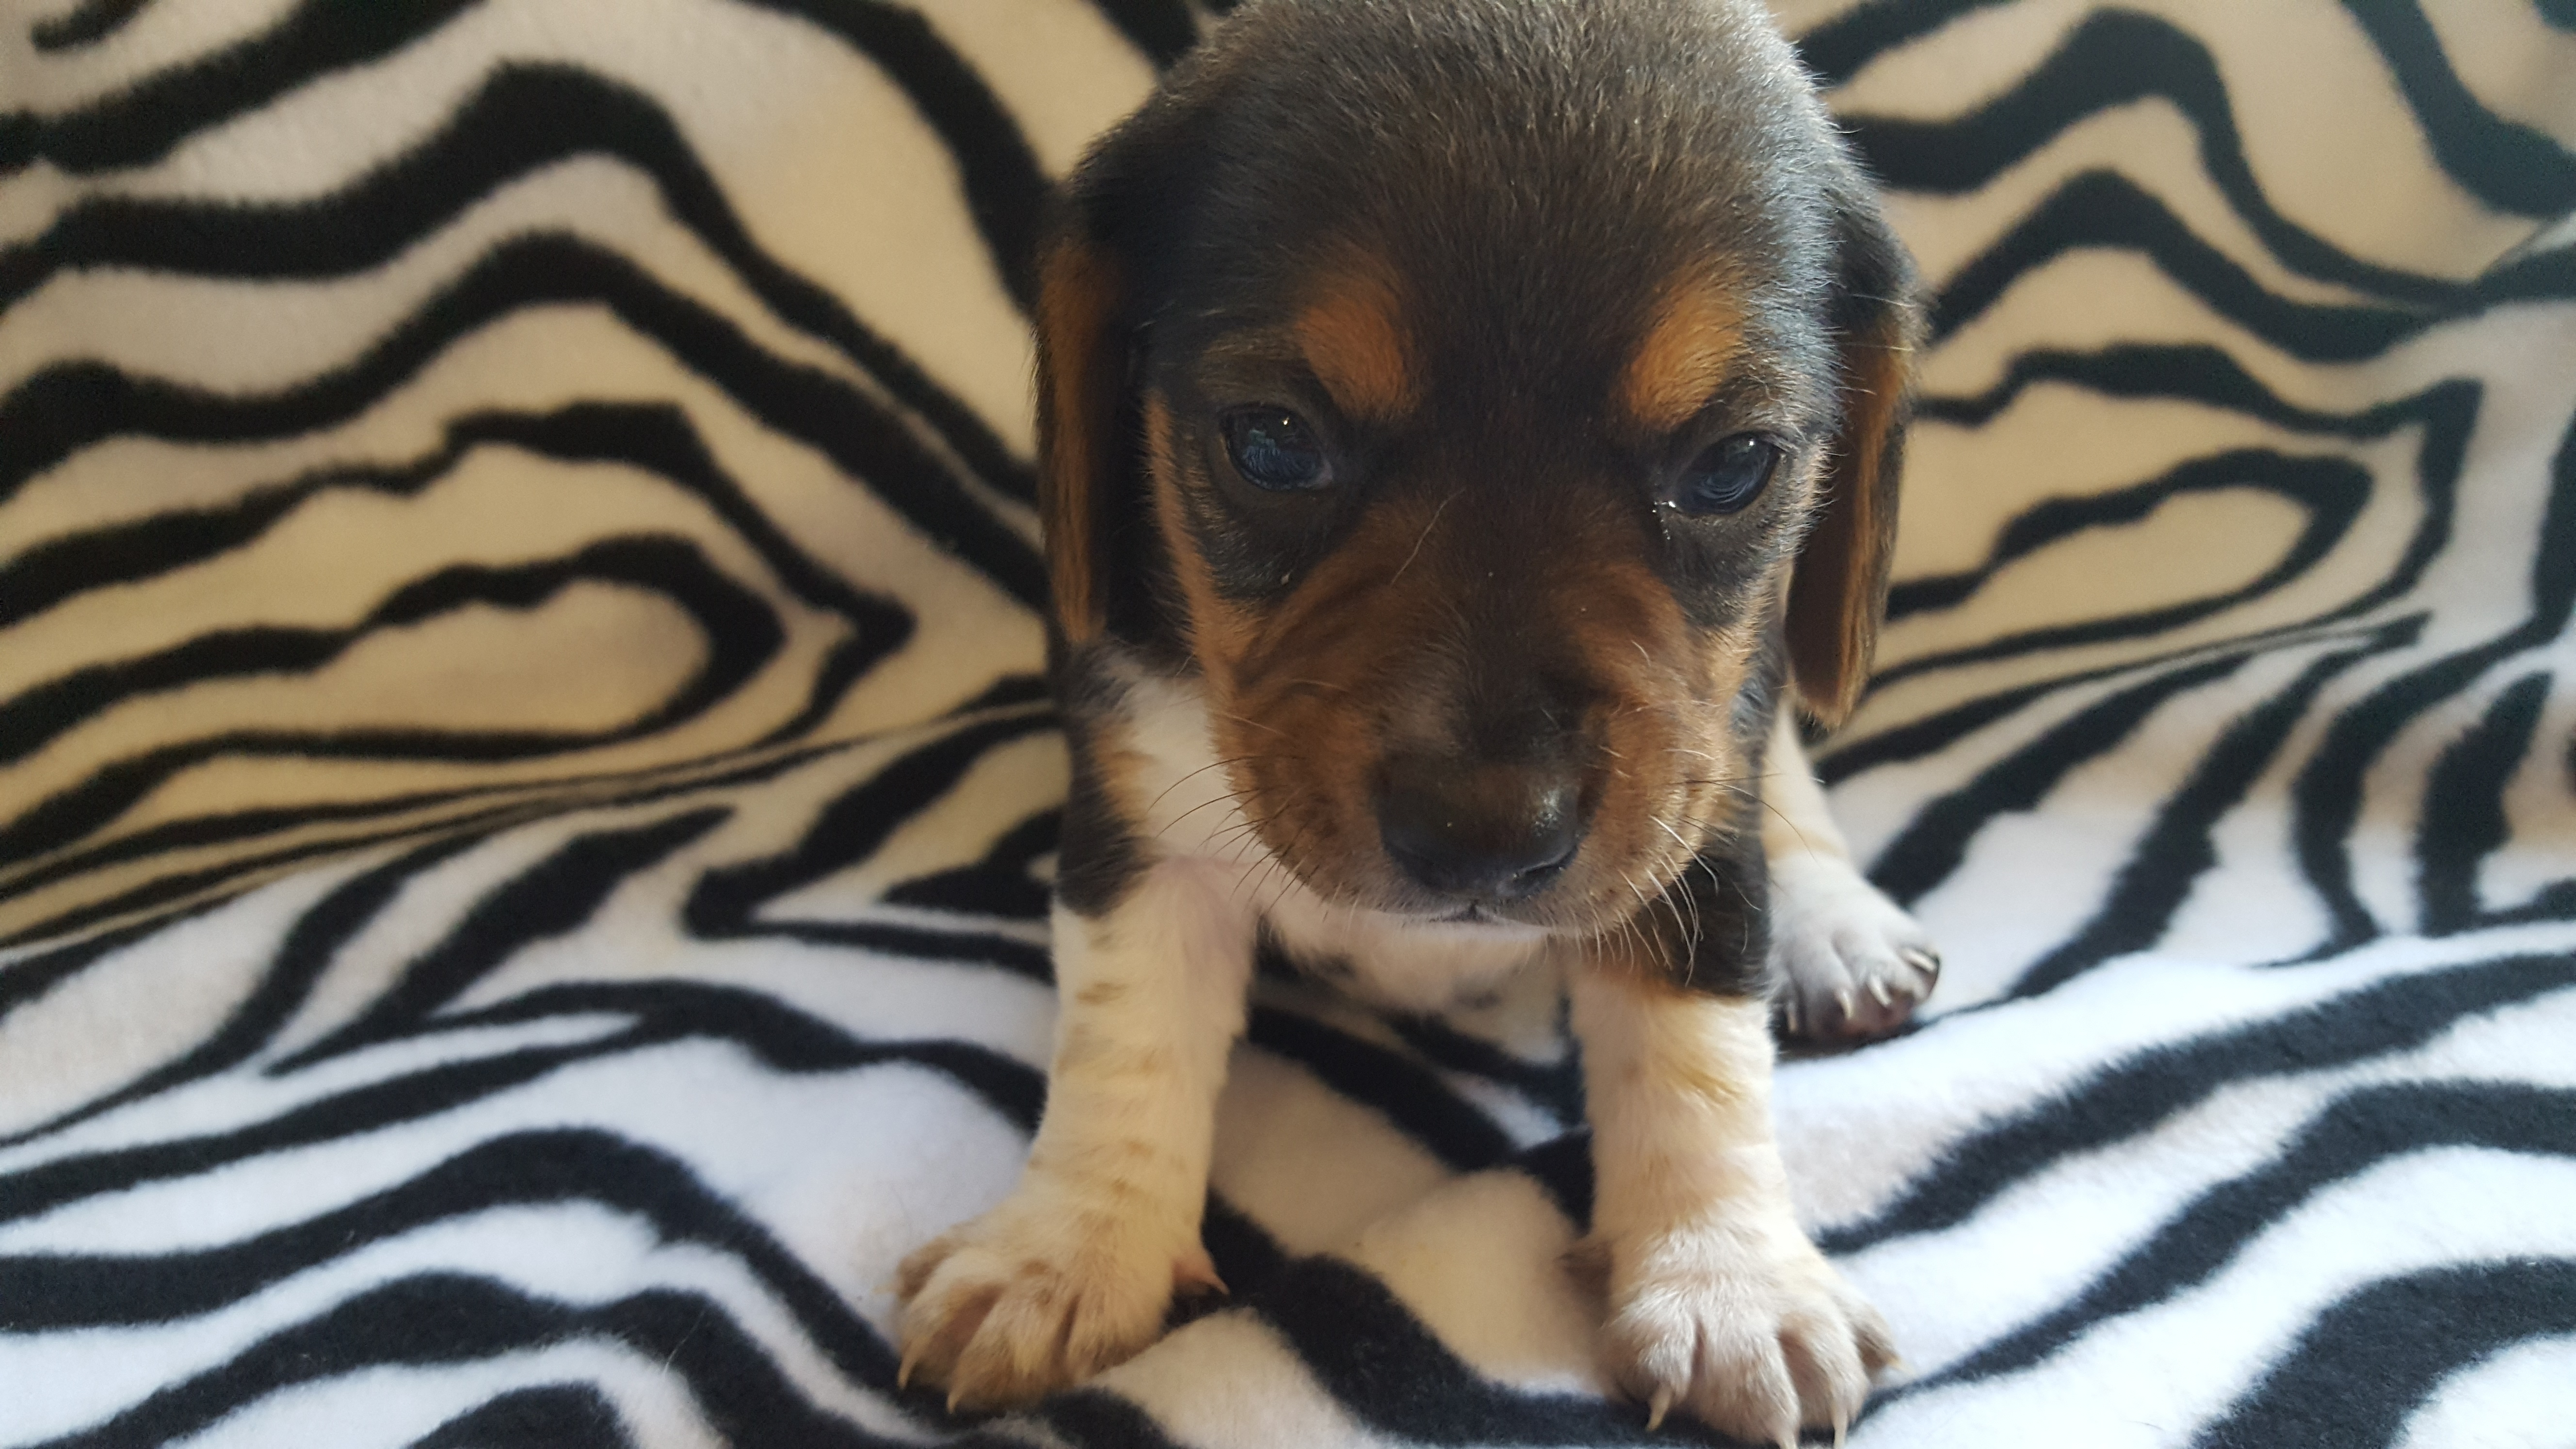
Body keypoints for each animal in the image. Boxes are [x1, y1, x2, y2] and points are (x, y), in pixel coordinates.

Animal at [895, 0, 1939, 1439]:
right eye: (1272, 442)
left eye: (1733, 466)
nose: (1485, 835)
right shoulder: (1139, 824)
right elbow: (1123, 1045)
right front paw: (1066, 1250)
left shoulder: (1695, 813)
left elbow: (1695, 1056)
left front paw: (1726, 1276)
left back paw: (1836, 925)